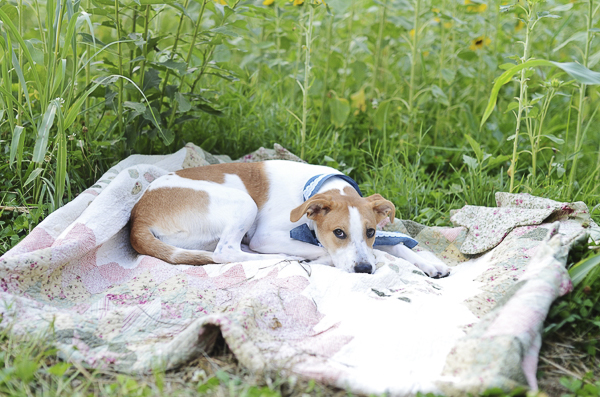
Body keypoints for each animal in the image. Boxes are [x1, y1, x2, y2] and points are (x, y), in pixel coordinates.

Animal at [131, 159, 450, 276]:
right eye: (338, 233)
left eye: (370, 232)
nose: (363, 270)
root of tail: (138, 216)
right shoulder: (266, 237)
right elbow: (323, 250)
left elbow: (397, 244)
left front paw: (429, 264)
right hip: (243, 204)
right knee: (226, 252)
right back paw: (289, 258)